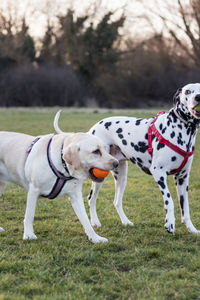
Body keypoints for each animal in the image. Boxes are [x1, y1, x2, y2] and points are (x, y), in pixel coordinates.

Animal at [54, 83, 200, 236]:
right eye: (188, 91)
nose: (198, 97)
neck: (182, 131)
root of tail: (92, 130)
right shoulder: (159, 173)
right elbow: (169, 201)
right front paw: (170, 223)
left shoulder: (182, 179)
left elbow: (186, 208)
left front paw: (191, 228)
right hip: (100, 176)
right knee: (91, 198)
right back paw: (95, 222)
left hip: (122, 176)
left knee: (117, 201)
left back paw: (125, 222)